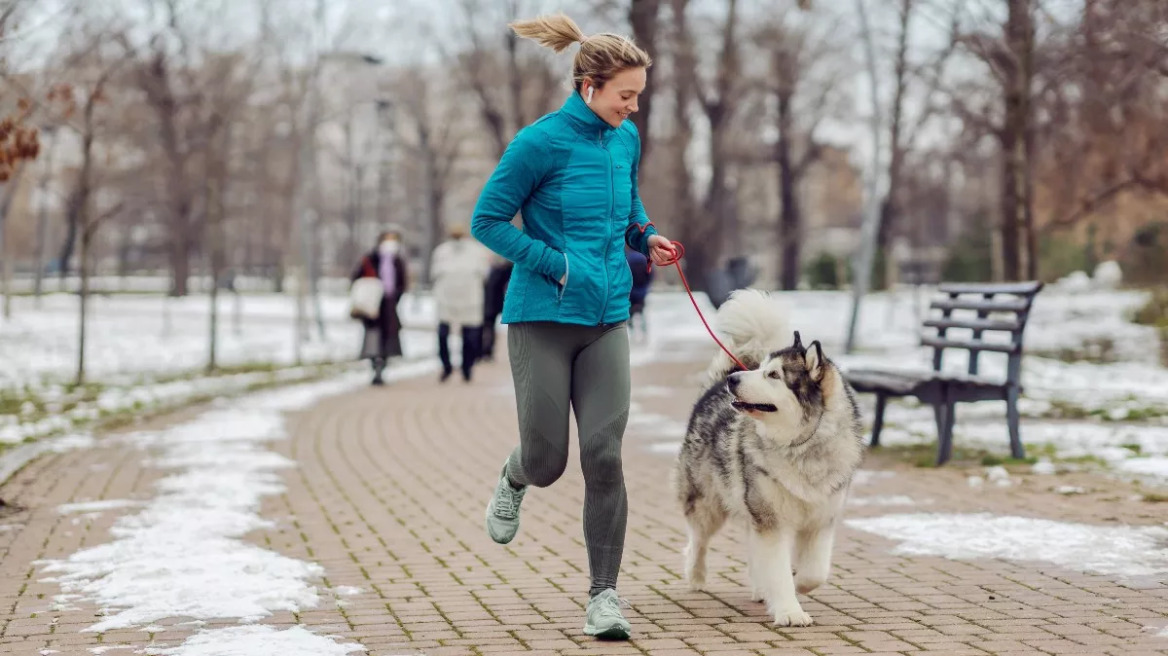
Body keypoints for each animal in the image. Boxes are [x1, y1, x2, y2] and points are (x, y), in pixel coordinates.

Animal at [672, 288, 864, 625]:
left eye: (773, 375)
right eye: (762, 369)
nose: (734, 380)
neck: (802, 446)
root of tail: (713, 386)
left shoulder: (821, 520)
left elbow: (815, 572)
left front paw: (798, 584)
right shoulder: (771, 520)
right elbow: (778, 569)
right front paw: (789, 610)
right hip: (709, 504)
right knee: (698, 540)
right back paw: (696, 576)